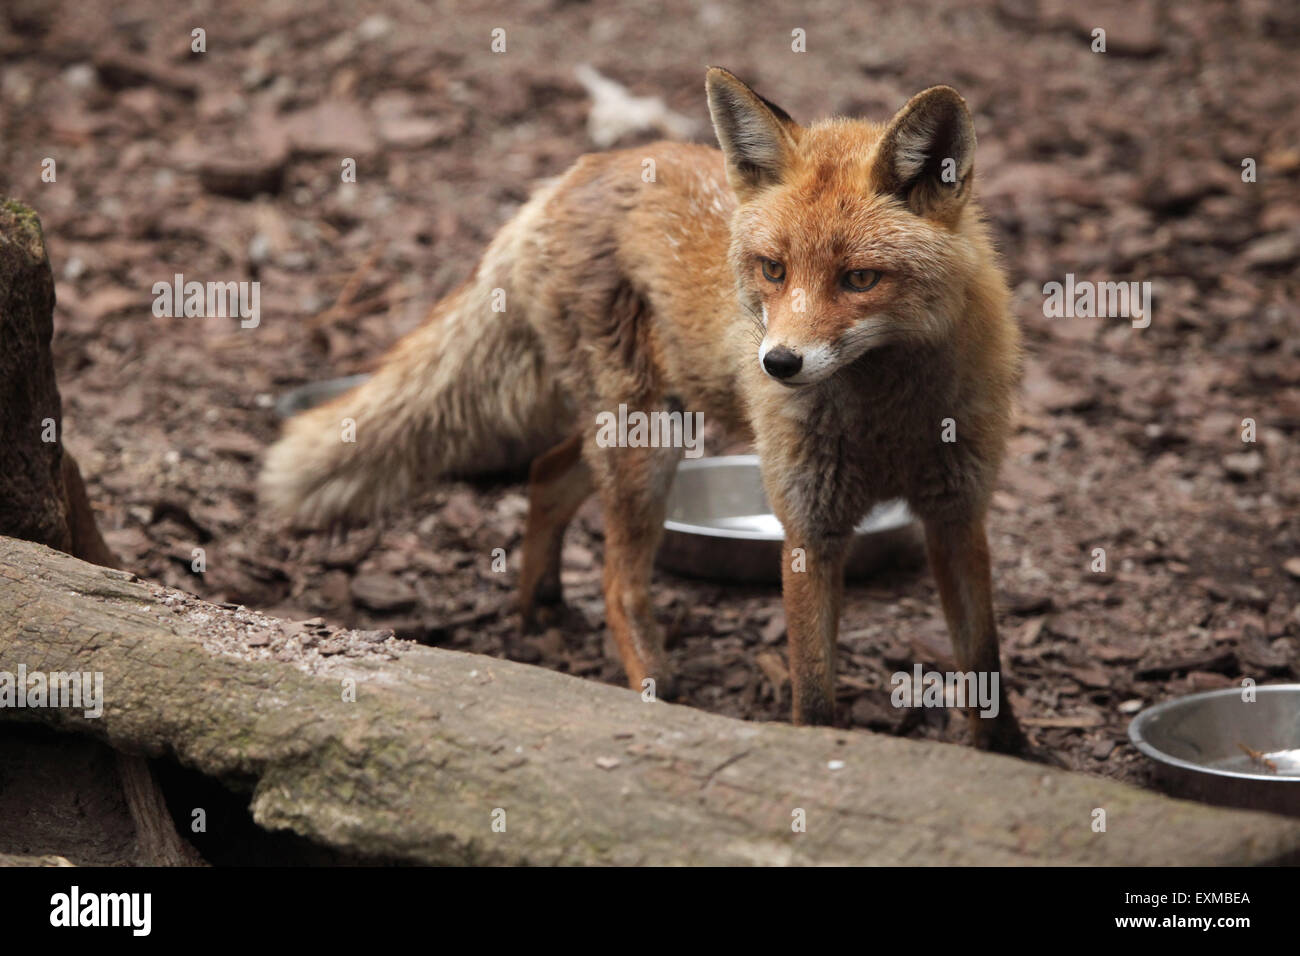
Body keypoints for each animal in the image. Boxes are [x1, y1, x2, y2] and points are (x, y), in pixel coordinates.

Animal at [263, 67, 1029, 754]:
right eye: (773, 270)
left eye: (860, 279)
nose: (777, 365)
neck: (886, 418)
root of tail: (569, 176)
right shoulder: (809, 526)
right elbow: (814, 692)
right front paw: (818, 753)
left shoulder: (958, 513)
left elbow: (984, 662)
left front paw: (1009, 756)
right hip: (647, 445)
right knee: (615, 580)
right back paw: (653, 690)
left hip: (653, 424)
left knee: (547, 474)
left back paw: (536, 606)